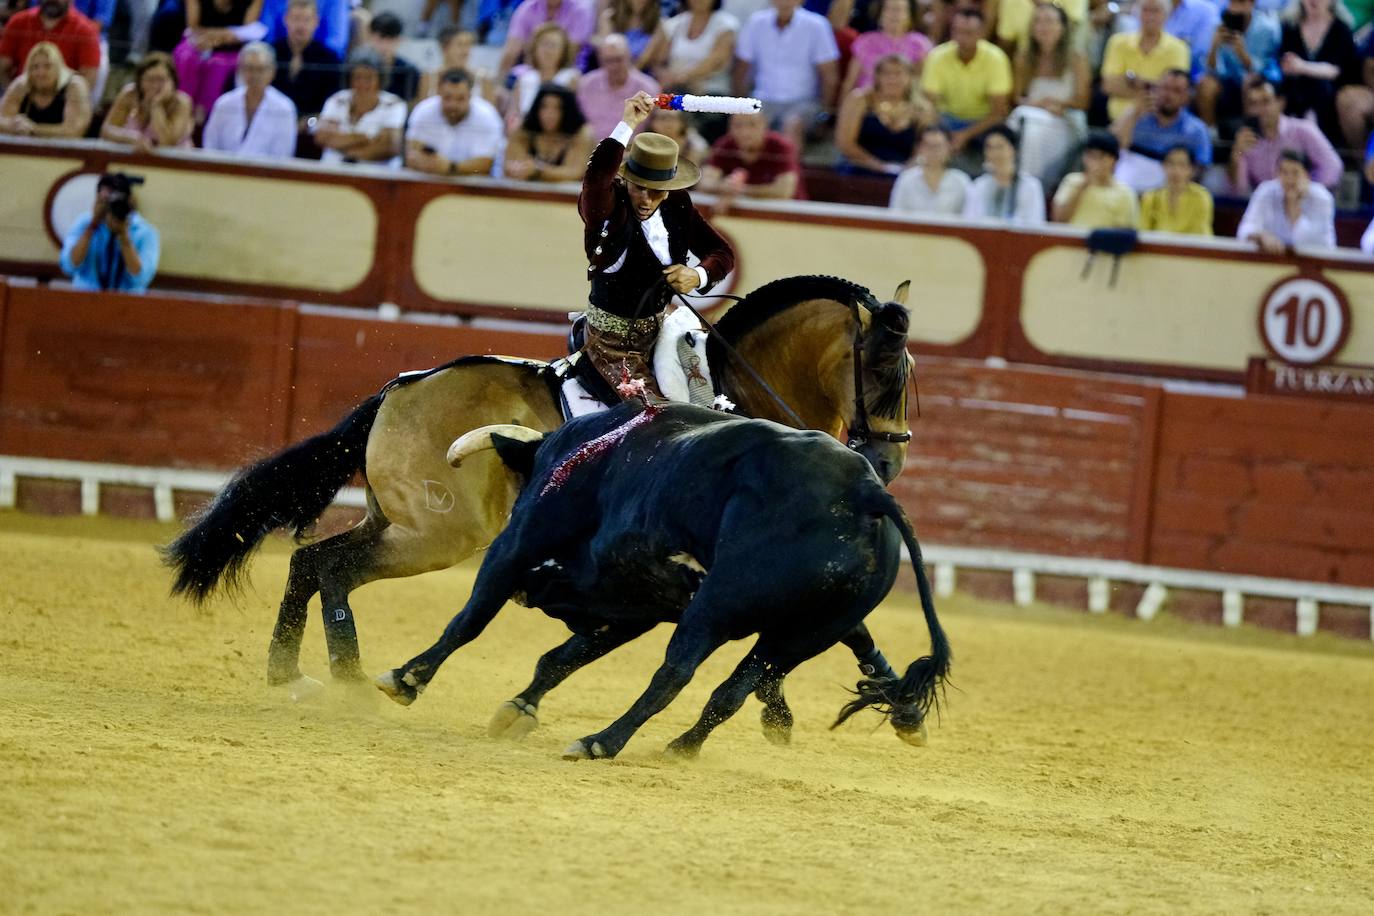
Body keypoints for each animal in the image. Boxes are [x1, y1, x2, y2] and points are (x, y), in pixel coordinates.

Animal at [166, 276, 917, 736]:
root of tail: (404, 386)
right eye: (884, 368)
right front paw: (825, 705)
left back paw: (298, 673)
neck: (738, 394)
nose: (889, 464)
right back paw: (350, 678)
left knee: (314, 563)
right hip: (437, 534)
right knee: (333, 570)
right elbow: (836, 629)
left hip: (400, 523)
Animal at [376, 403, 956, 763]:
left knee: (674, 674)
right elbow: (561, 657)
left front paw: (405, 678)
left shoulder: (518, 544)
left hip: (718, 605)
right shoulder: (637, 603)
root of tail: (864, 490)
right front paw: (519, 708)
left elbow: (470, 619)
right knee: (733, 689)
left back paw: (601, 742)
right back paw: (683, 748)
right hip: (801, 635)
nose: (532, 593)